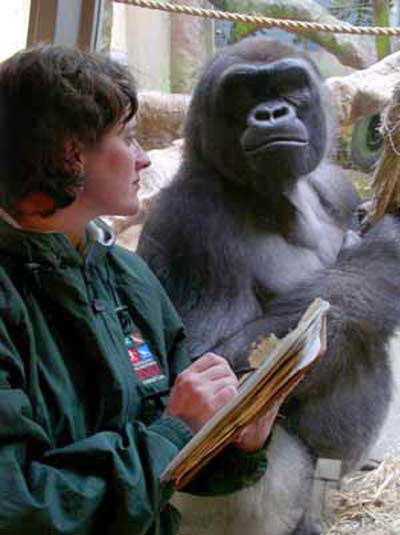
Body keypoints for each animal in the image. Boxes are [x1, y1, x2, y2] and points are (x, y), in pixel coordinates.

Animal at [138, 37, 400, 535]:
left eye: (289, 85)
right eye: (243, 92)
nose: (272, 113)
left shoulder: (334, 182)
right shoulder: (190, 220)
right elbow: (205, 365)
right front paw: (386, 246)